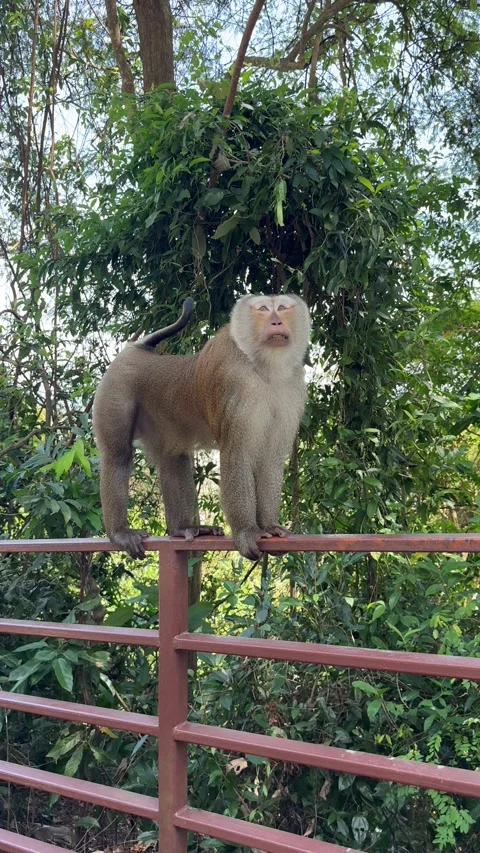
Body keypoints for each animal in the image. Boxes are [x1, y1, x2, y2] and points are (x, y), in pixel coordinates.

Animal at [93, 293, 311, 561]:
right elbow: (237, 453)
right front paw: (247, 532)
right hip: (115, 387)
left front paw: (269, 525)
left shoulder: (292, 387)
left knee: (173, 458)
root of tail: (138, 350)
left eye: (282, 307)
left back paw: (181, 528)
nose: (276, 321)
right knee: (118, 455)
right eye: (262, 309)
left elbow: (270, 457)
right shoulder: (234, 382)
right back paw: (120, 532)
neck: (265, 368)